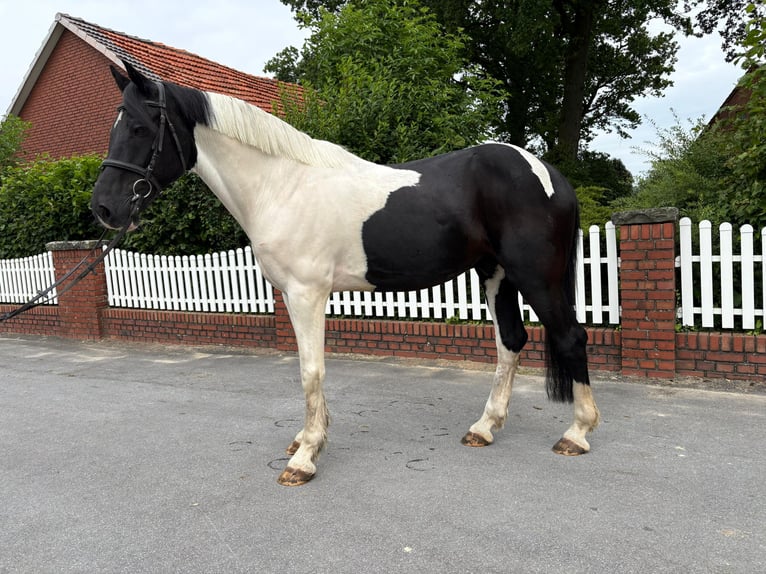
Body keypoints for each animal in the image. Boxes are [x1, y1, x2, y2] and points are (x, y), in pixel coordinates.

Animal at [92, 62, 600, 486]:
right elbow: (307, 369)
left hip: (536, 276)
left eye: (139, 127)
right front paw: (304, 440)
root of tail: (548, 173)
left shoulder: (307, 294)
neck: (281, 185)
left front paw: (305, 457)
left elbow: (311, 371)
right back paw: (485, 427)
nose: (104, 208)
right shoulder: (293, 297)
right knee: (510, 342)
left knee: (570, 337)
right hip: (496, 275)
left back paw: (576, 434)